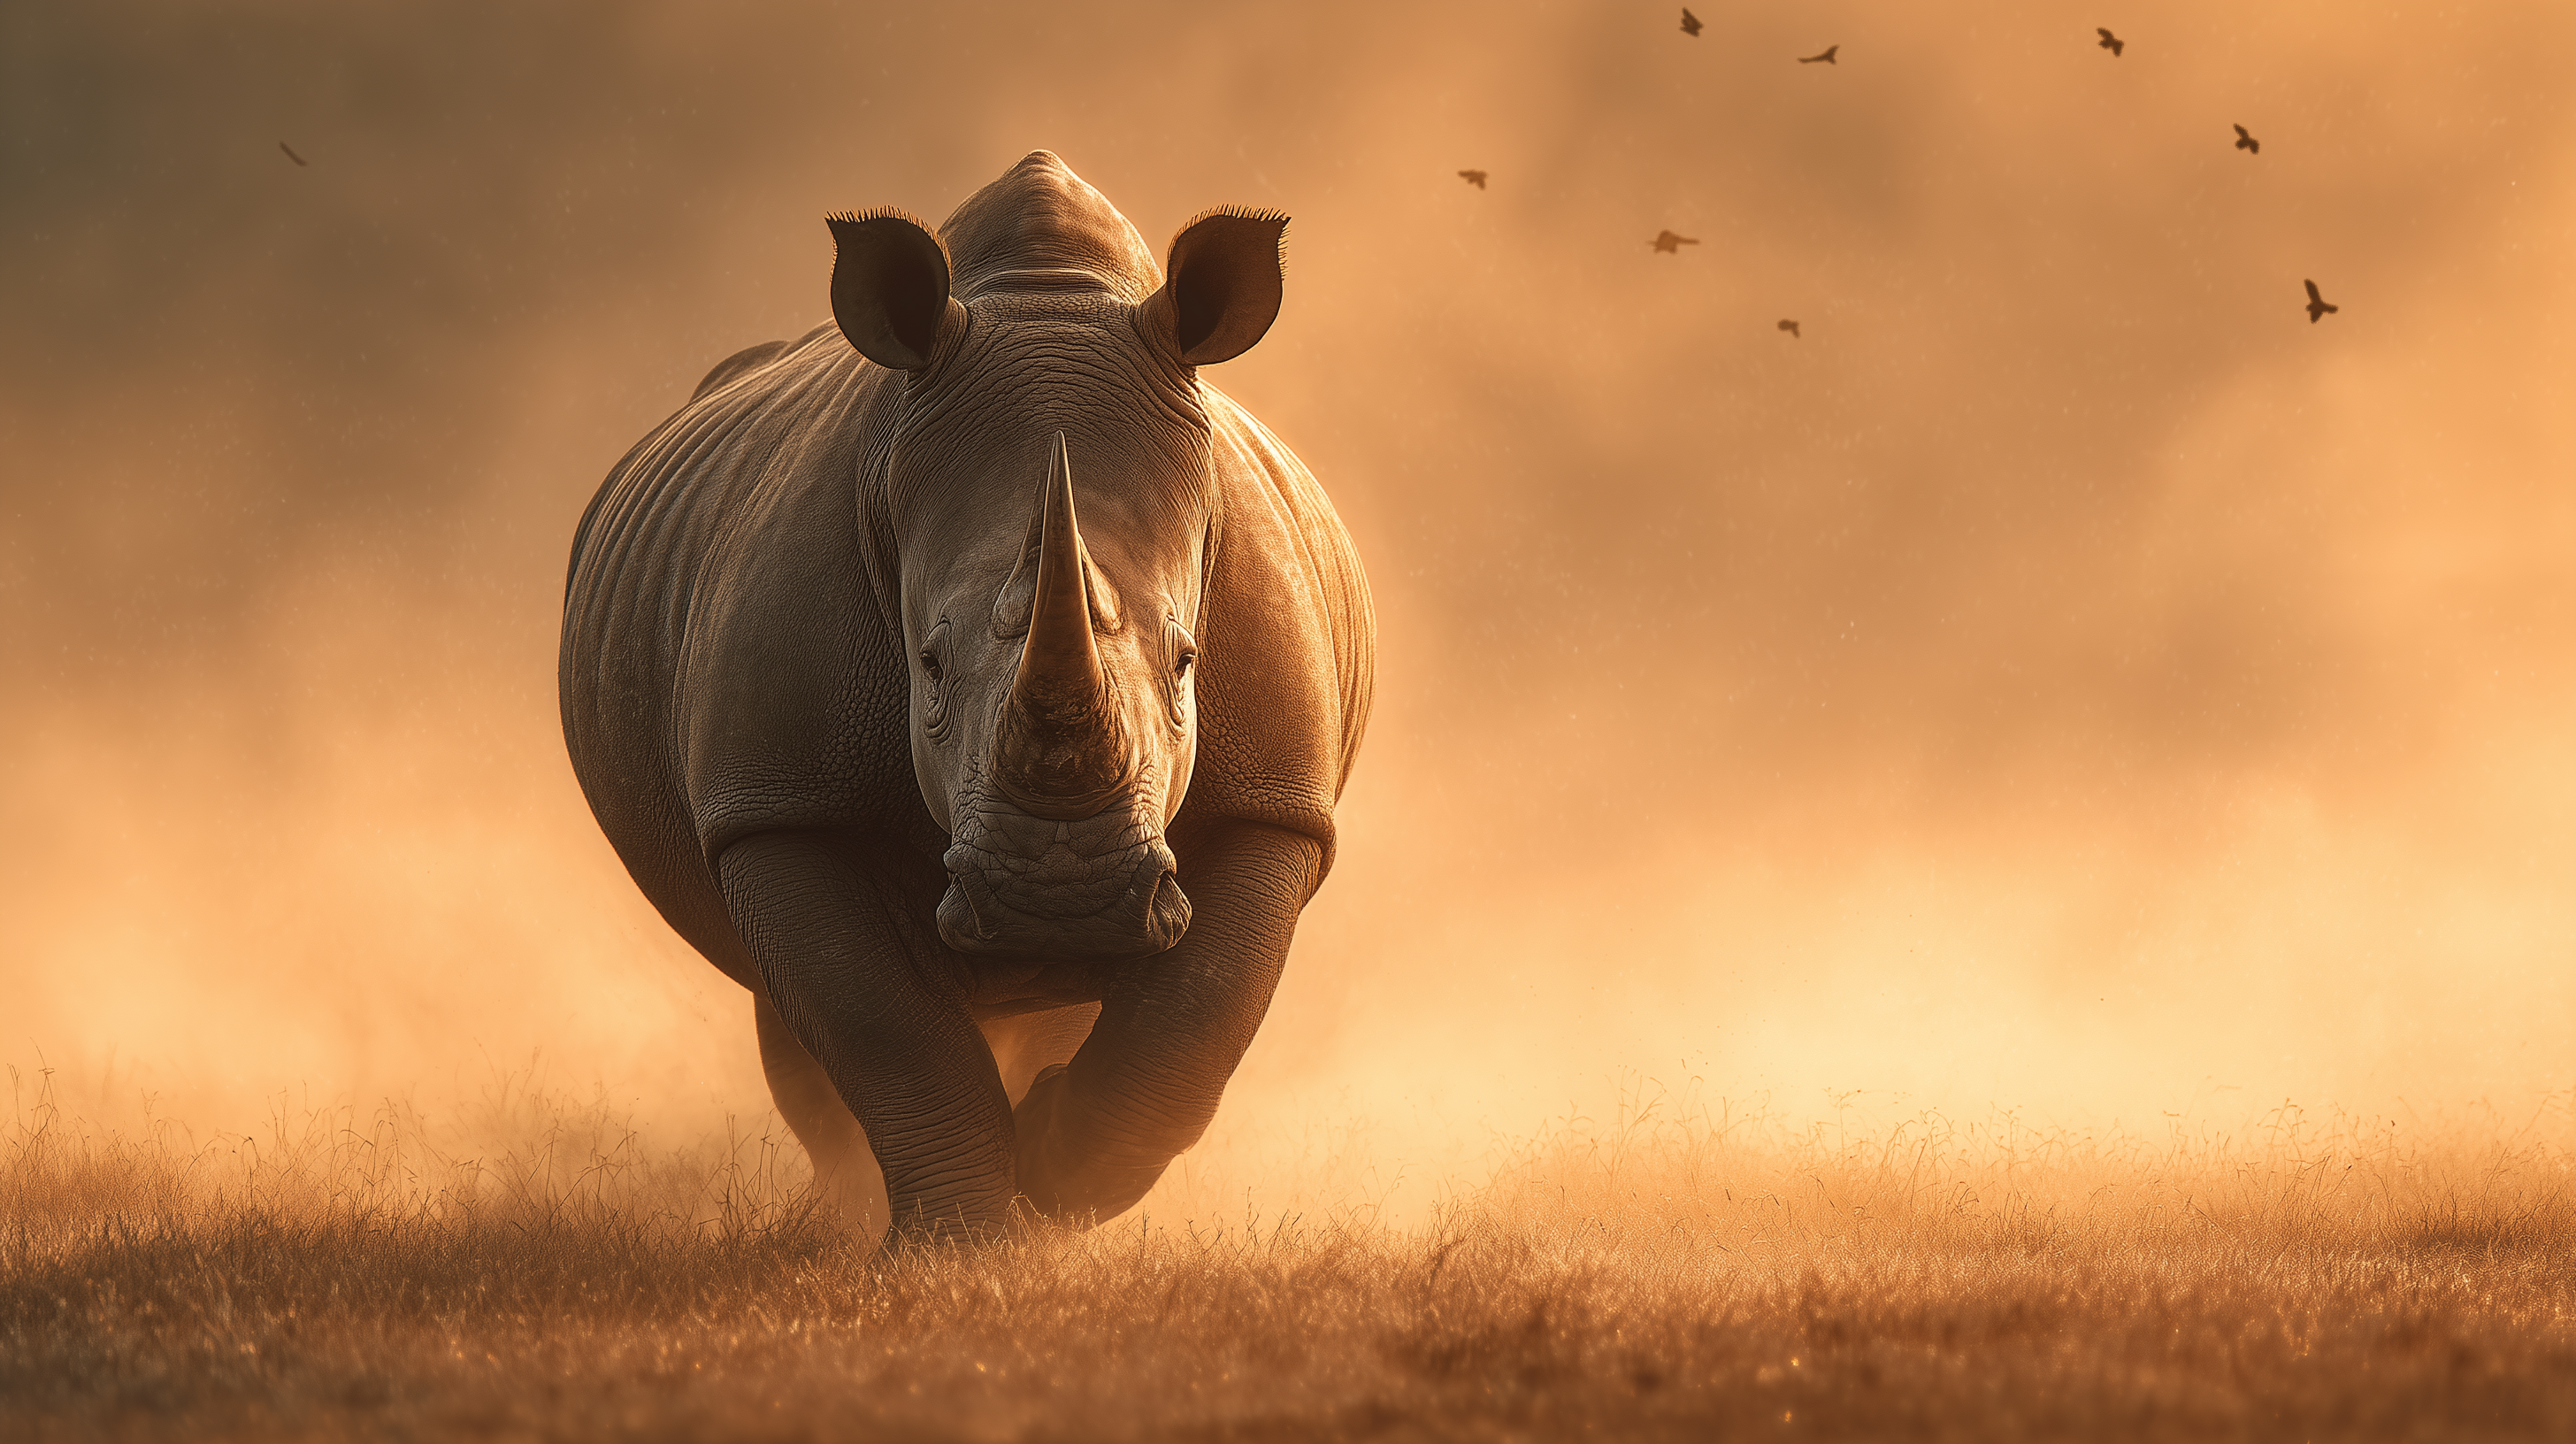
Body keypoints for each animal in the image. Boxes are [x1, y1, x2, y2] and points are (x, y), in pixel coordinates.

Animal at [559, 151, 1374, 1242]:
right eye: (930, 668)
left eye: (1188, 663)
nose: (1059, 901)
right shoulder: (775, 798)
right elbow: (884, 1030)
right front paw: (959, 1245)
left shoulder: (1275, 799)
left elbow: (1198, 1020)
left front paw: (1053, 1175)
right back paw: (847, 1214)